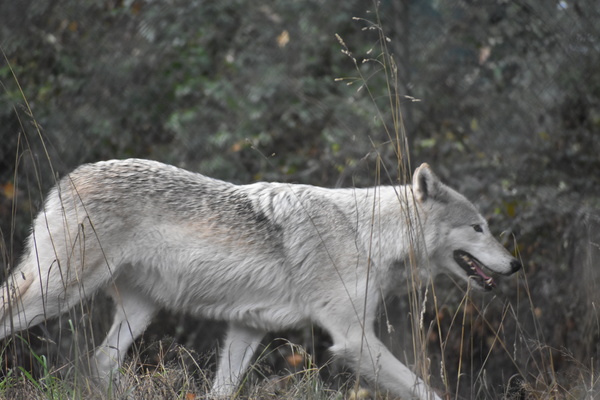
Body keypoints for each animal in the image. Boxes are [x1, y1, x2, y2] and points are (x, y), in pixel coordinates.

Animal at [0, 159, 521, 399]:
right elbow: (424, 389)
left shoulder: (248, 327)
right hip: (55, 294)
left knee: (102, 360)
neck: (368, 235)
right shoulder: (354, 340)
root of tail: (70, 178)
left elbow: (222, 388)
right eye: (479, 228)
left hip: (139, 310)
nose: (514, 265)